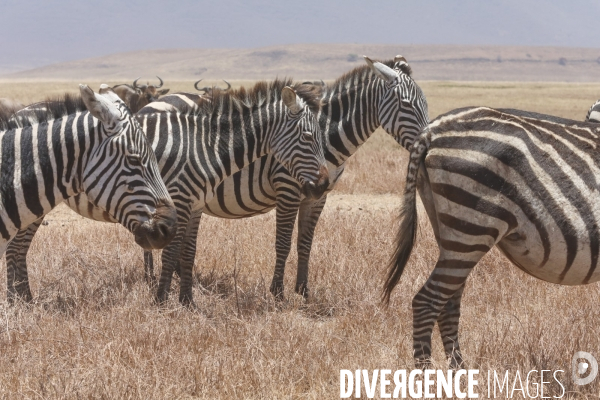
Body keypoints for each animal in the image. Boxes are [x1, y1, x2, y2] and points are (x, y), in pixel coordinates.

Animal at [384, 105, 600, 368]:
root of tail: (431, 130)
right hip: (471, 228)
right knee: (426, 302)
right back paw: (427, 376)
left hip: (450, 234)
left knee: (448, 303)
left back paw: (460, 374)